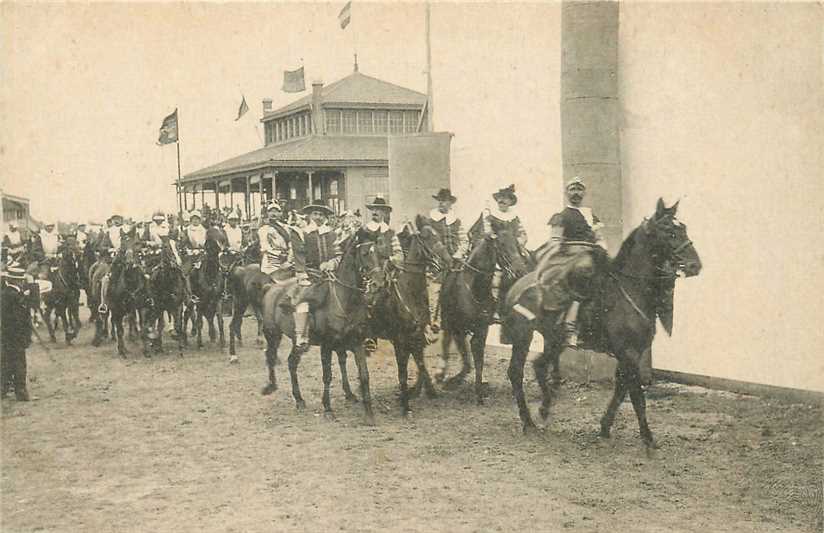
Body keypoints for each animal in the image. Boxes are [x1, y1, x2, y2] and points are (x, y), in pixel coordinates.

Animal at [260, 235, 384, 422]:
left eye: (379, 253)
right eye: (364, 254)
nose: (379, 283)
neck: (344, 300)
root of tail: (272, 287)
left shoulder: (356, 342)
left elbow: (364, 375)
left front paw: (369, 412)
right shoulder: (326, 346)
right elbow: (327, 376)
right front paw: (327, 408)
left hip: (297, 342)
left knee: (291, 362)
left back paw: (299, 399)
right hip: (272, 334)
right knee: (271, 356)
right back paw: (271, 386)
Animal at [422, 219, 532, 404]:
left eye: (517, 244)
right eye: (501, 245)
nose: (521, 271)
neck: (474, 288)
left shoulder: (481, 328)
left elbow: (477, 358)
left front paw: (479, 388)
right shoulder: (457, 326)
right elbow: (466, 356)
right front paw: (454, 381)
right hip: (448, 320)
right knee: (446, 341)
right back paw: (441, 373)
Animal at [502, 197, 700, 450]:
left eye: (682, 227)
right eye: (669, 231)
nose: (695, 265)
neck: (629, 289)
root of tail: (516, 287)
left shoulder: (631, 353)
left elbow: (622, 388)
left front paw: (605, 427)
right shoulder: (628, 353)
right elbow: (636, 396)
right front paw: (648, 438)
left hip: (554, 340)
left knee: (538, 365)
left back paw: (544, 409)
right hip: (523, 337)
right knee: (516, 372)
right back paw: (528, 422)